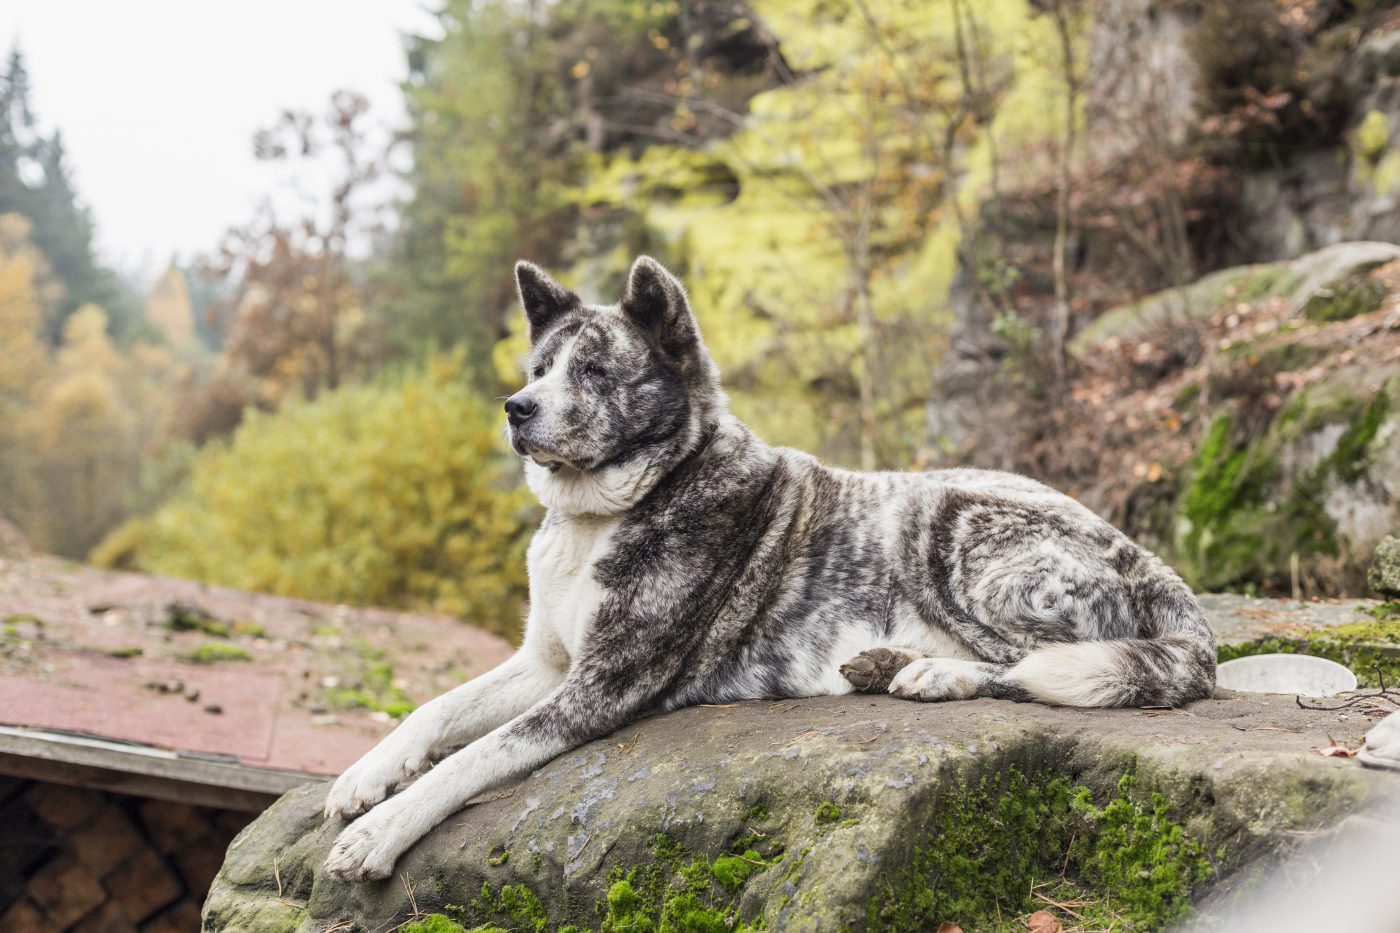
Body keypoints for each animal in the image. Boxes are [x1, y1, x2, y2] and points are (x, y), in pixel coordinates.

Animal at [320, 256, 1215, 879]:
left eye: (596, 373)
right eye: (539, 368)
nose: (516, 408)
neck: (611, 507)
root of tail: (1151, 564)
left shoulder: (595, 688)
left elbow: (470, 757)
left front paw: (377, 832)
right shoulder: (546, 663)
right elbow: (435, 711)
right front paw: (363, 778)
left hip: (948, 523)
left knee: (1034, 664)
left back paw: (932, 673)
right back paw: (886, 661)